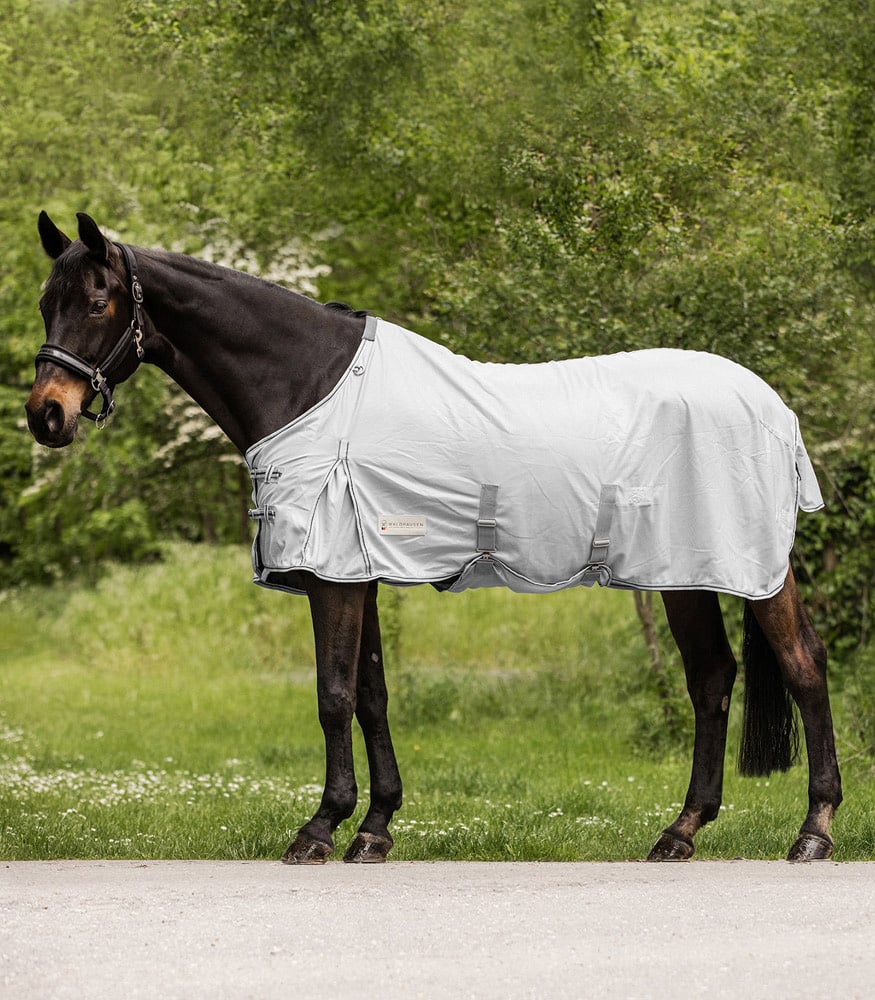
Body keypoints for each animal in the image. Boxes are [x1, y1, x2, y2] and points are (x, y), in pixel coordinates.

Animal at [25, 212, 842, 864]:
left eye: (97, 301)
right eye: (44, 303)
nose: (46, 414)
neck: (309, 386)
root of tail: (772, 405)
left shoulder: (333, 575)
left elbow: (331, 695)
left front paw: (318, 830)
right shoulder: (355, 571)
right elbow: (371, 695)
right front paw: (374, 828)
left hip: (750, 568)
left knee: (802, 664)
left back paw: (813, 831)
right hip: (683, 572)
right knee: (711, 679)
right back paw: (680, 832)